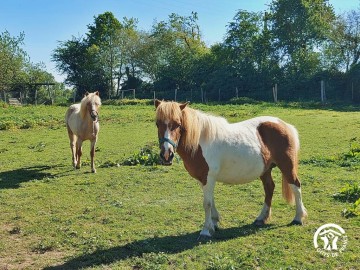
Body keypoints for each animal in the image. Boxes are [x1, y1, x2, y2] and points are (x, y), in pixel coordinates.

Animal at [155, 100, 306, 238]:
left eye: (178, 124)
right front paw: (214, 223)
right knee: (269, 188)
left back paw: (298, 218)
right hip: (265, 169)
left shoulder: (208, 177)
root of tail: (284, 125)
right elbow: (211, 201)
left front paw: (206, 231)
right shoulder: (203, 179)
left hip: (287, 166)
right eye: (157, 123)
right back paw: (261, 218)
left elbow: (207, 203)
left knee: (296, 186)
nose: (166, 155)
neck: (199, 142)